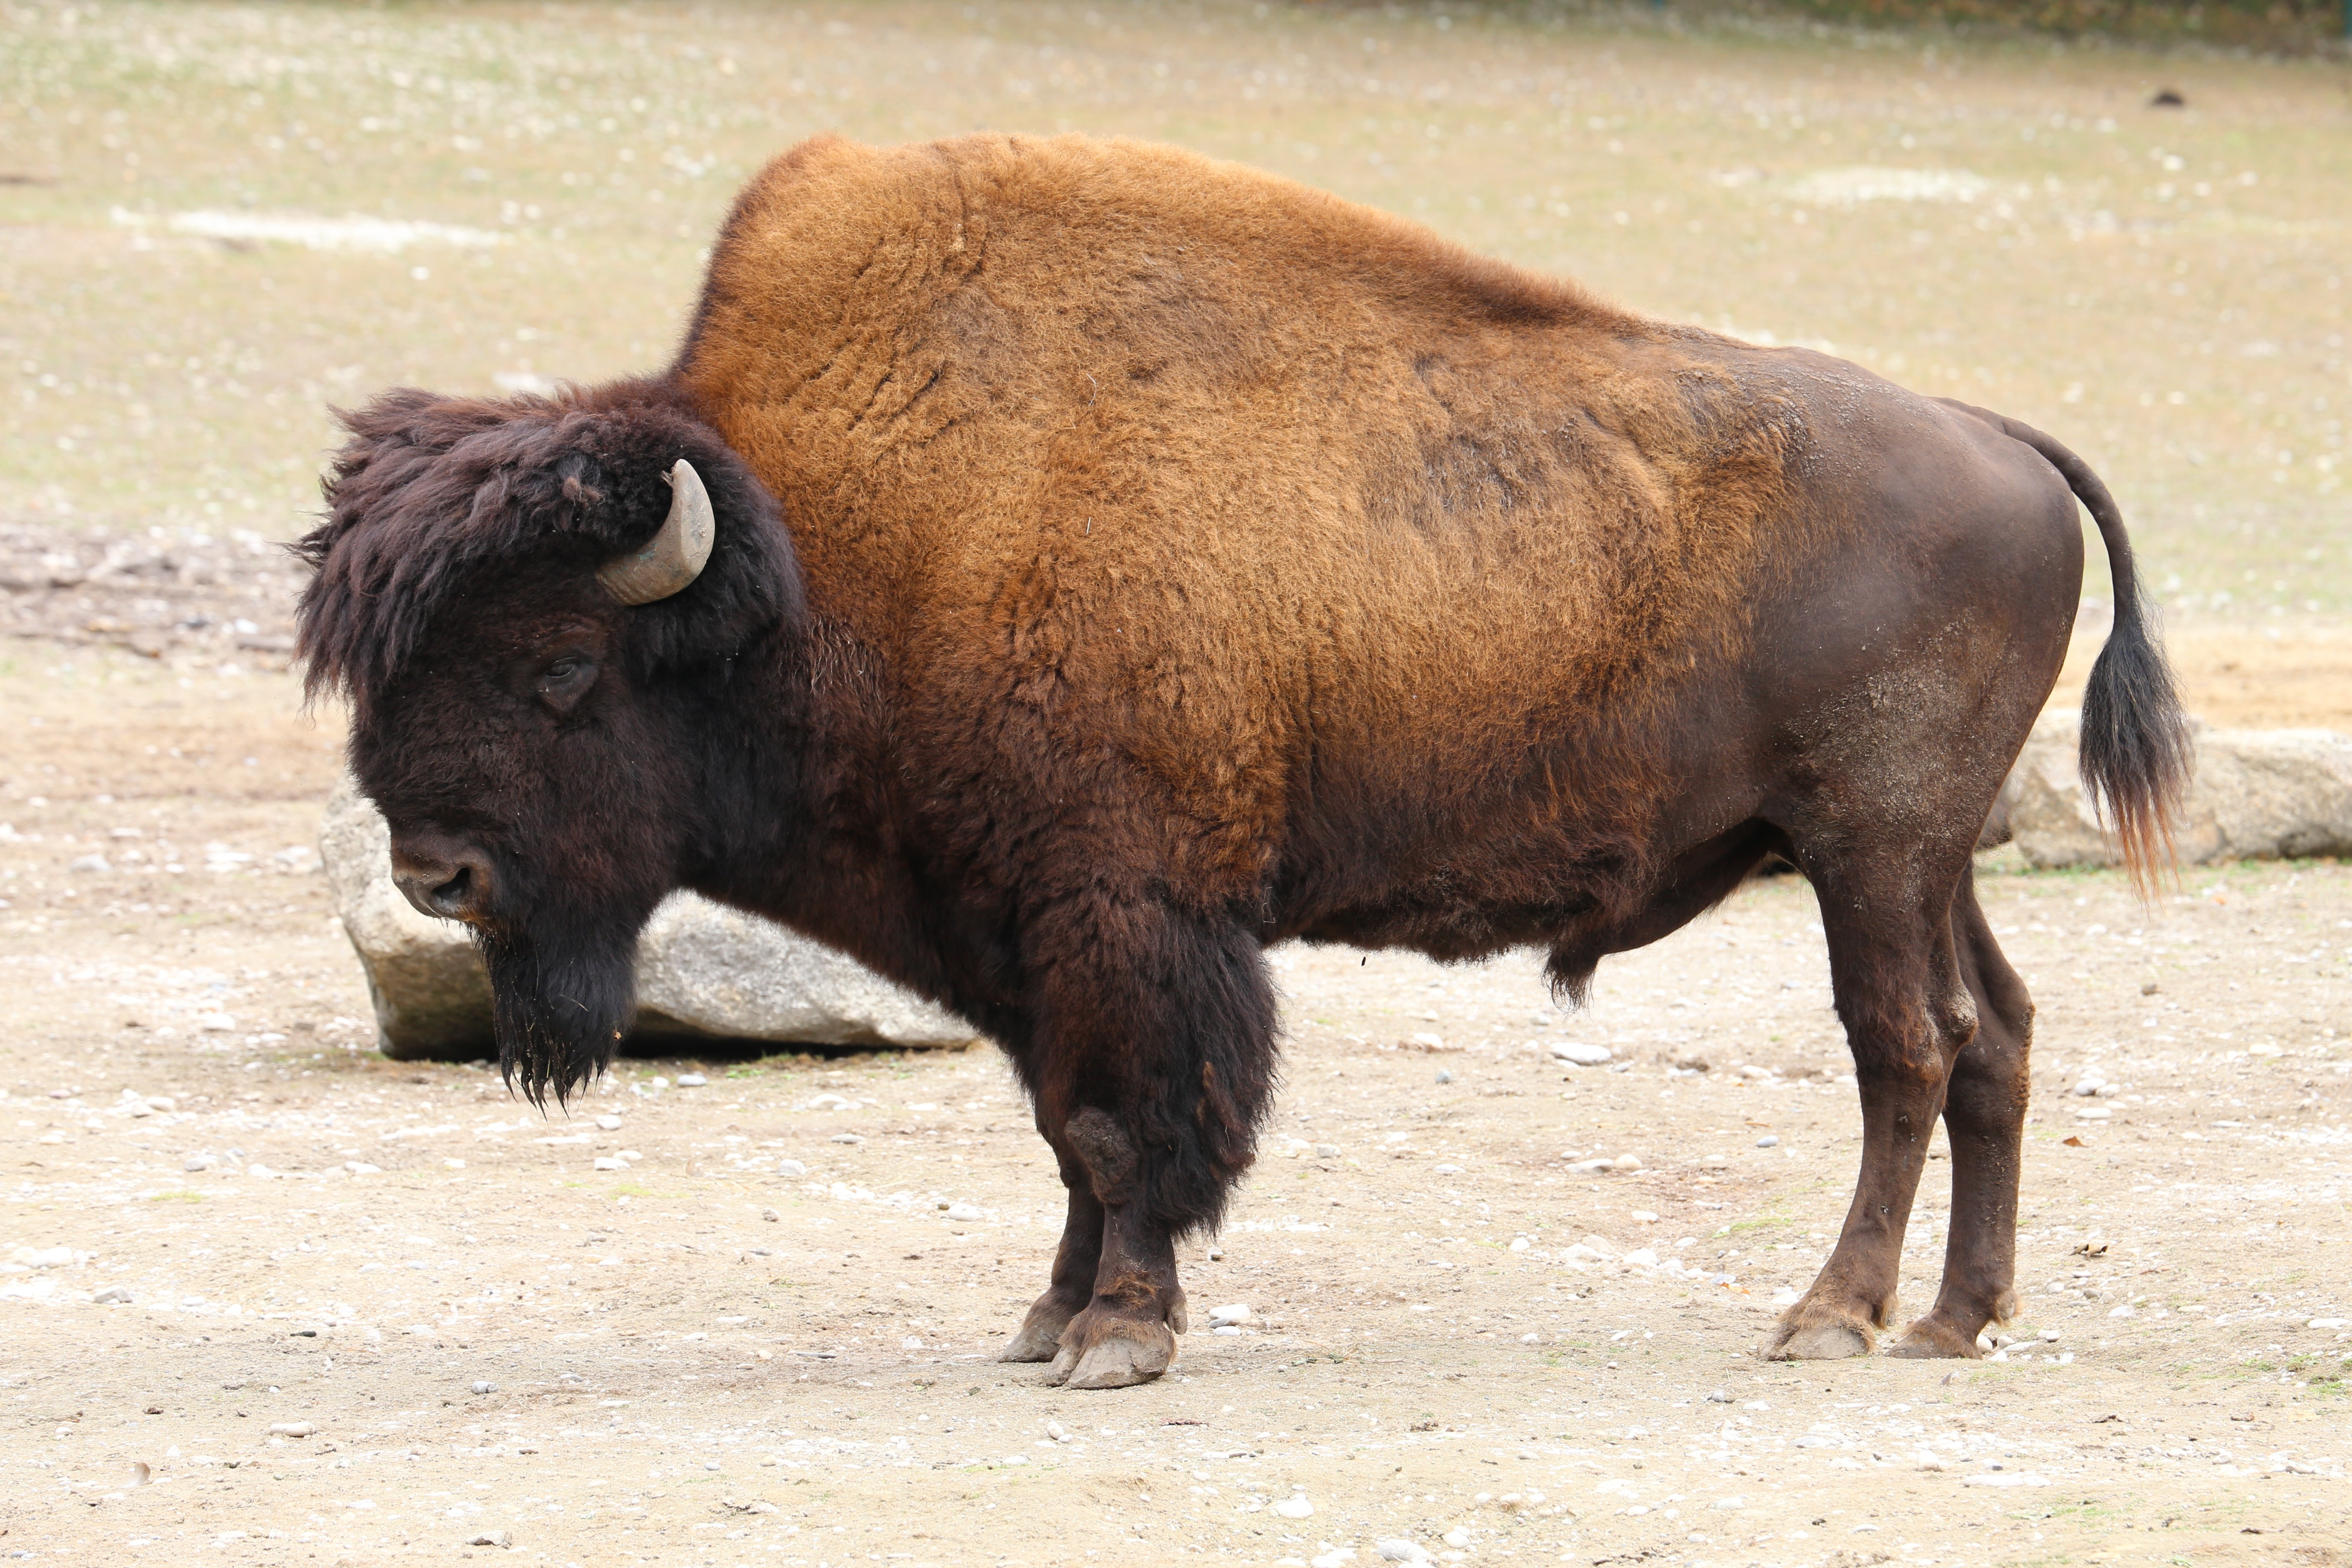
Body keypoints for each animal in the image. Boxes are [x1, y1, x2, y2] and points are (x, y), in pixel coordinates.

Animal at [294, 132, 2183, 1382]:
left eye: (558, 665)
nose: (433, 871)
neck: (830, 555)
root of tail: (2000, 439)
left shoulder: (1126, 915)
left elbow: (1133, 1122)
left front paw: (1118, 1339)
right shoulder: (1016, 932)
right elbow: (1067, 1129)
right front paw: (1045, 1321)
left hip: (1868, 848)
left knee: (1906, 1049)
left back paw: (1830, 1315)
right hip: (1924, 857)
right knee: (1999, 1034)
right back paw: (1954, 1319)